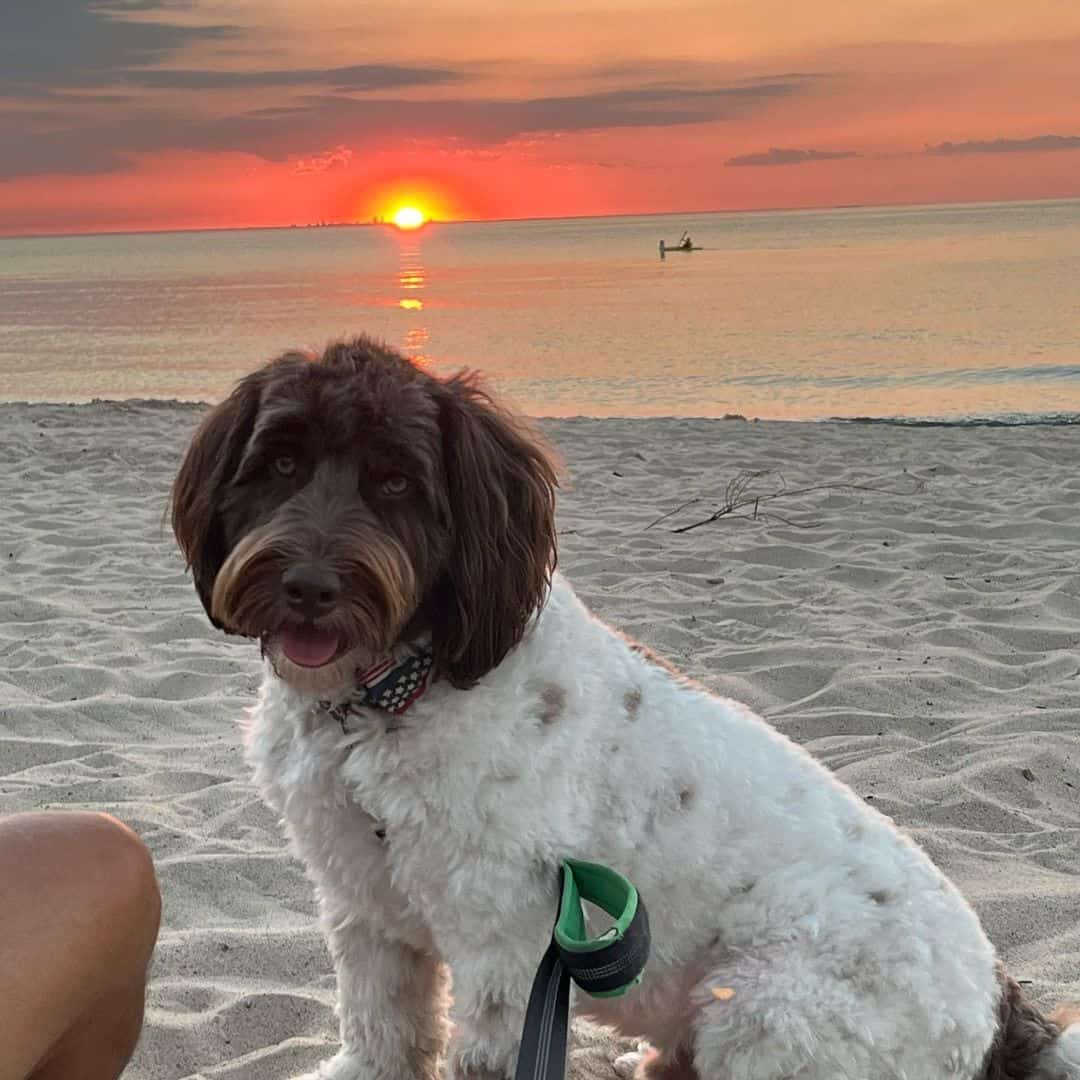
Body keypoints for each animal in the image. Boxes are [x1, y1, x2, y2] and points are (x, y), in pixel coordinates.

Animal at [174, 339, 1080, 1080]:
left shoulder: (504, 938)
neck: (394, 694)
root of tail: (1003, 1014)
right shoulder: (364, 903)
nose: (309, 586)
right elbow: (379, 1023)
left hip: (768, 1003)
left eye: (395, 481)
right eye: (280, 465)